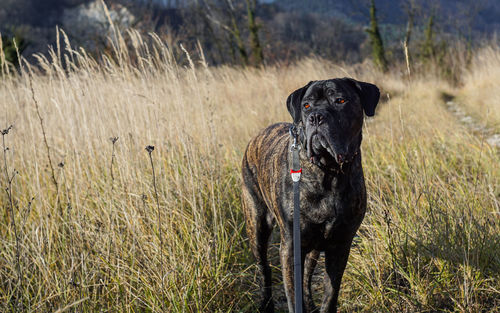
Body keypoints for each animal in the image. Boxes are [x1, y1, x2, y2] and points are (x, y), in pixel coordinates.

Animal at [241, 77, 378, 310]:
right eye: (306, 106)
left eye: (340, 100)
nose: (316, 116)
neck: (329, 171)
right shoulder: (291, 247)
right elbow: (293, 296)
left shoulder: (340, 245)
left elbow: (331, 294)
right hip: (257, 224)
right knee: (264, 267)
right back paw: (265, 303)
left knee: (306, 275)